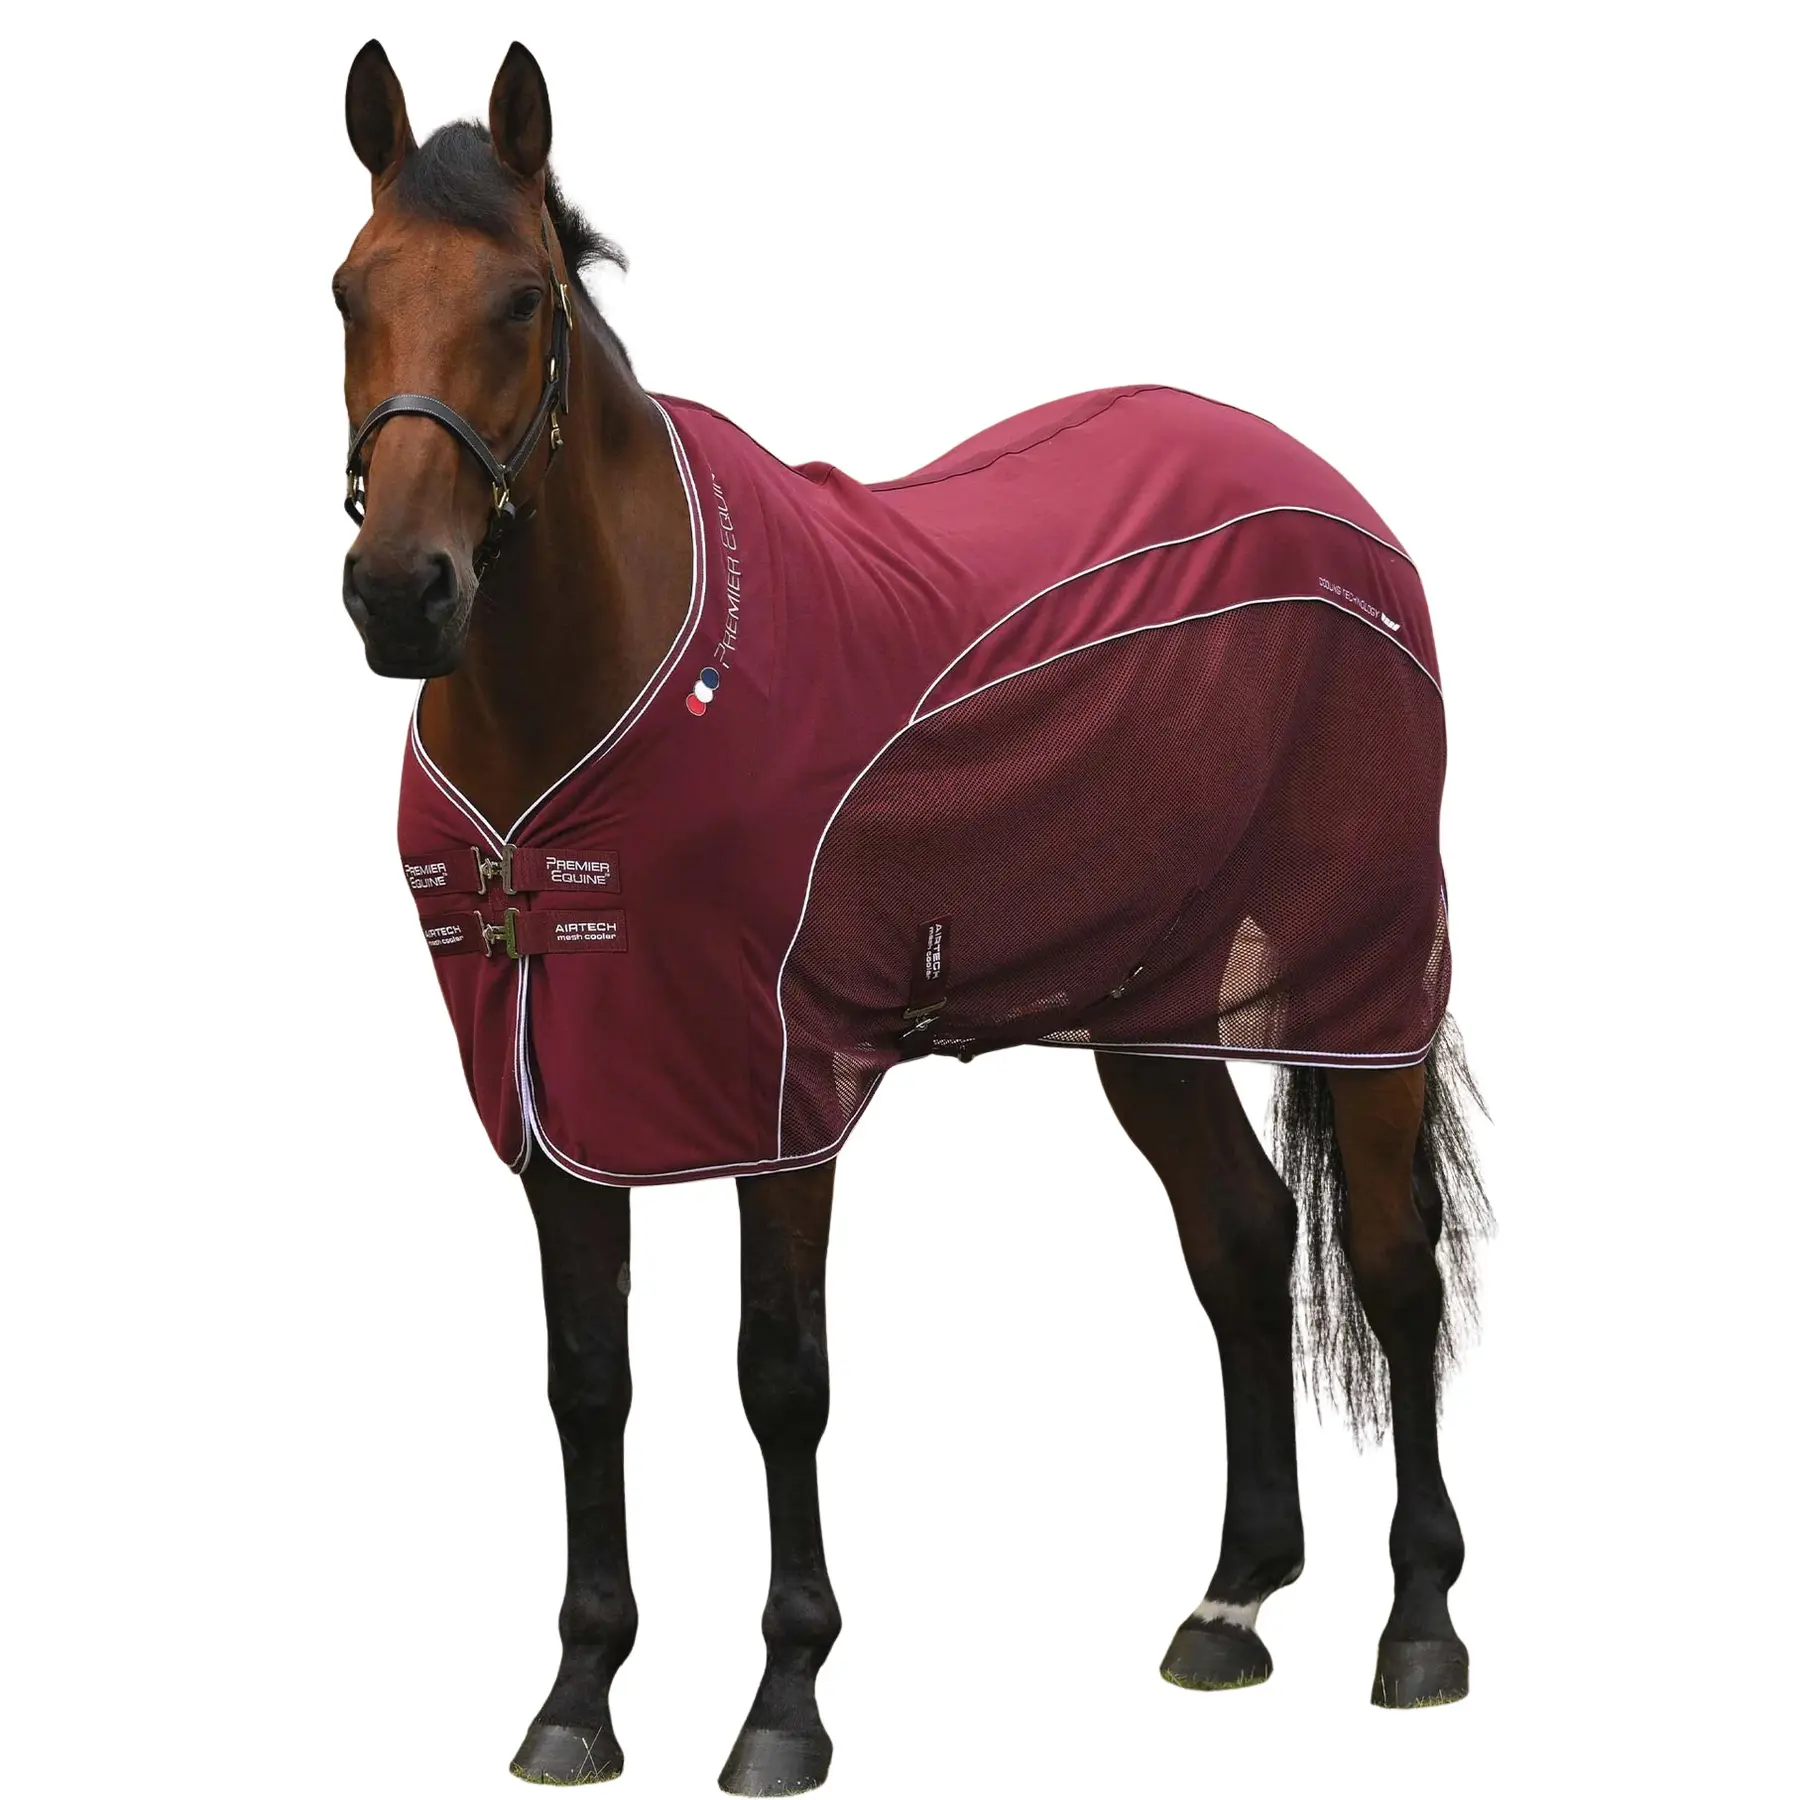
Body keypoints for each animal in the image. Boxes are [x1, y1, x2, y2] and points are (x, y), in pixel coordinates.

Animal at [335, 39, 1492, 1791]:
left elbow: (779, 1378)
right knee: (1238, 1238)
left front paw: (784, 1702)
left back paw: (1419, 1626)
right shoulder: (561, 1096)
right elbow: (586, 1379)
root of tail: (1333, 498)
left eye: (523, 302)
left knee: (1386, 1257)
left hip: (1360, 991)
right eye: (346, 291)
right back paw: (1230, 1605)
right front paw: (578, 1696)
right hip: (1147, 1010)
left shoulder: (774, 1083)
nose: (404, 595)